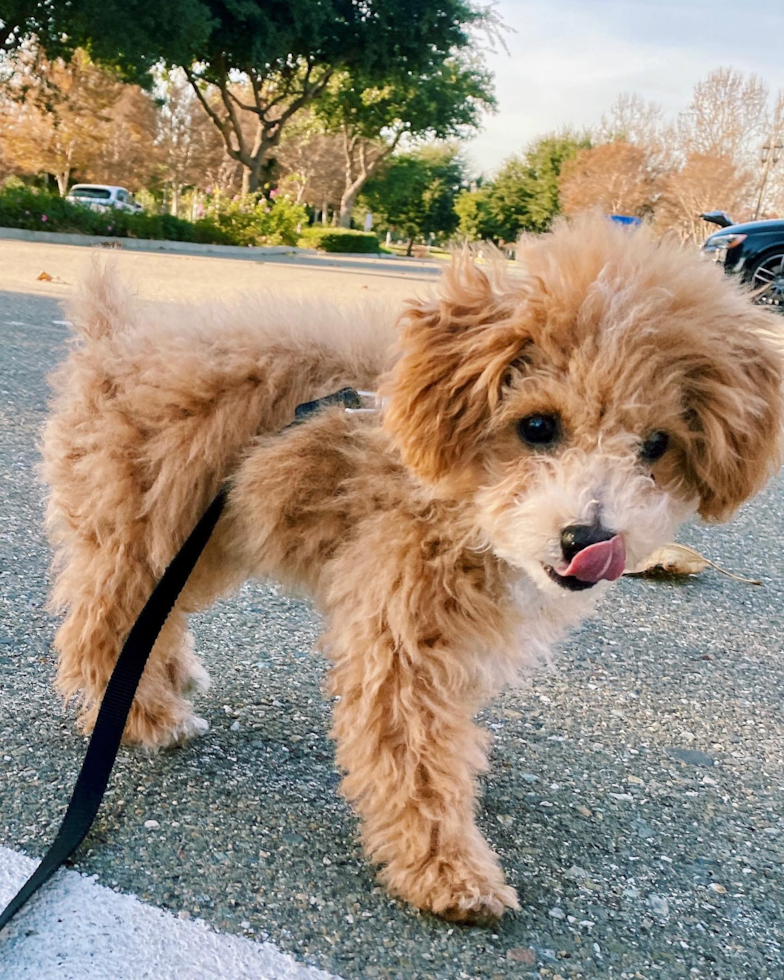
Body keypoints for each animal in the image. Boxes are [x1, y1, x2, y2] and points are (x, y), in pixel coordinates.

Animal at [44, 216, 784, 928]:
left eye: (656, 444)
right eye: (537, 426)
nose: (590, 539)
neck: (455, 492)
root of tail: (113, 338)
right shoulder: (402, 625)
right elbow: (413, 751)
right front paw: (447, 871)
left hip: (206, 530)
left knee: (154, 612)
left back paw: (166, 674)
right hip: (142, 522)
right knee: (103, 625)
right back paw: (143, 714)